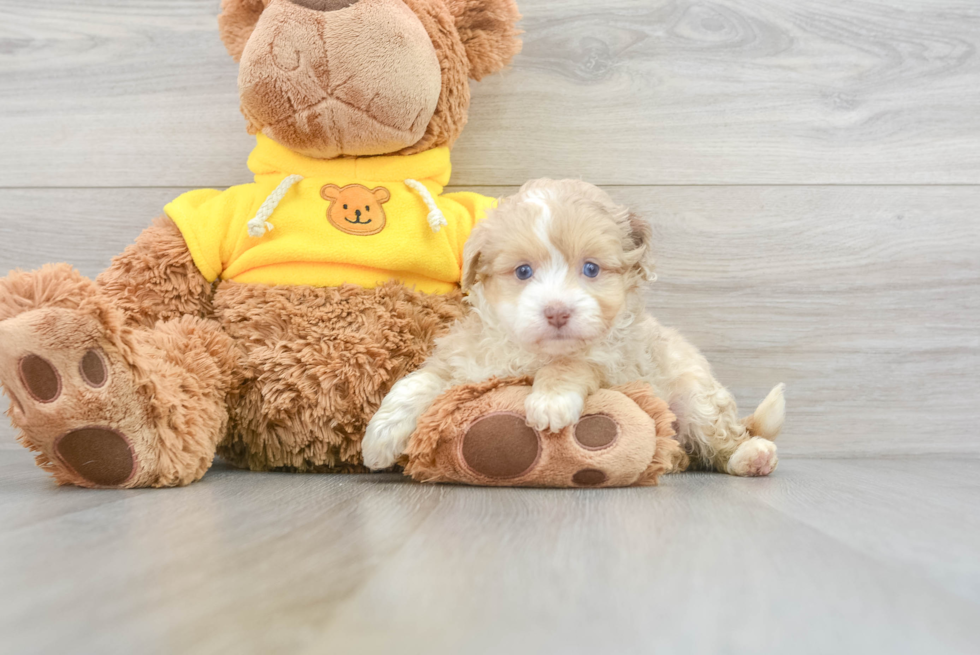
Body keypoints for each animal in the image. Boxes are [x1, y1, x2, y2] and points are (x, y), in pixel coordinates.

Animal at [364, 179, 784, 476]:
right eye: (523, 271)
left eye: (591, 269)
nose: (557, 312)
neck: (533, 352)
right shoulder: (463, 360)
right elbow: (419, 382)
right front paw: (380, 435)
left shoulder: (615, 363)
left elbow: (573, 364)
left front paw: (550, 400)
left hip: (695, 396)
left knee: (722, 435)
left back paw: (751, 456)